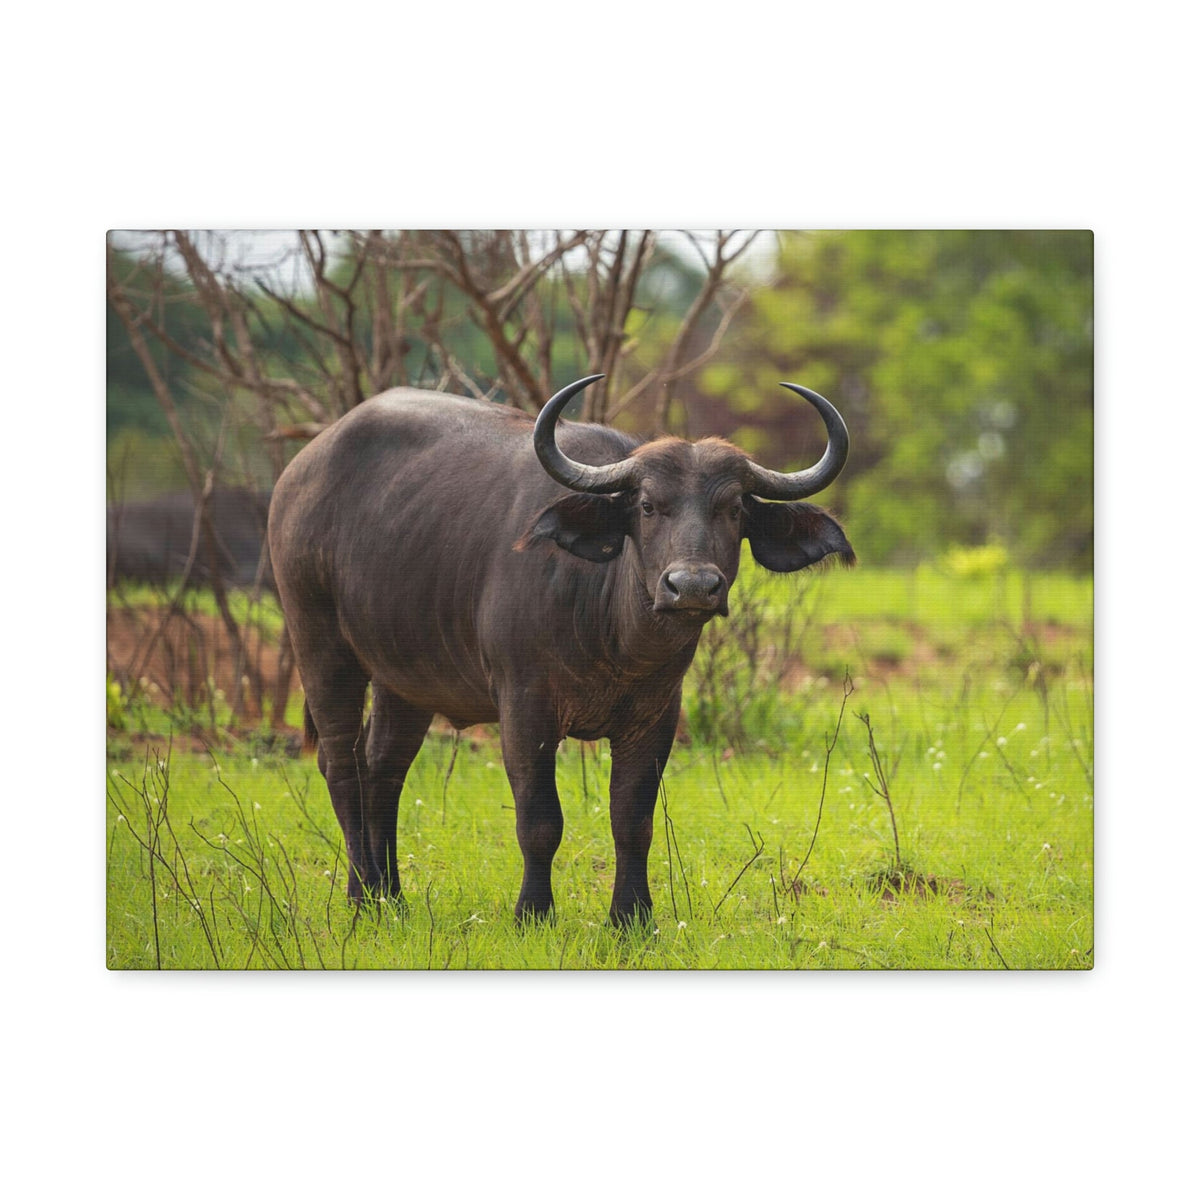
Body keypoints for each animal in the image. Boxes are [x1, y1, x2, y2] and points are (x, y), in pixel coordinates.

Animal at [267, 375, 853, 924]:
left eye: (732, 510)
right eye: (647, 506)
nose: (691, 586)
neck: (614, 640)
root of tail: (297, 473)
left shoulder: (657, 716)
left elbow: (633, 820)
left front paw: (631, 917)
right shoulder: (524, 708)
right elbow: (539, 819)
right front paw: (533, 911)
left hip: (404, 680)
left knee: (383, 767)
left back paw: (389, 897)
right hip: (320, 646)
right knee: (341, 765)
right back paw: (363, 895)